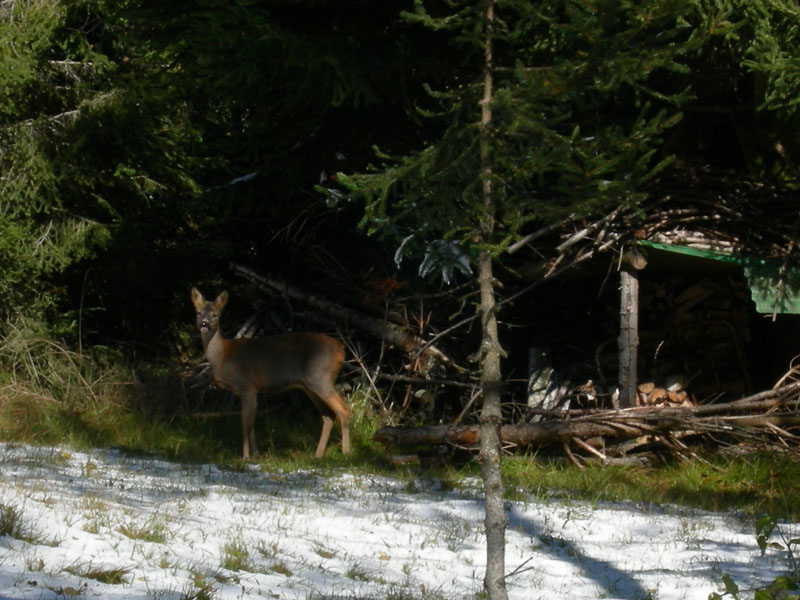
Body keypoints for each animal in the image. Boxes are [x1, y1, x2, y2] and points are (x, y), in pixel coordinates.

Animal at [191, 288, 350, 460]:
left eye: (215, 314)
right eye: (198, 312)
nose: (204, 324)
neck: (223, 356)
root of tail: (341, 351)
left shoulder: (247, 386)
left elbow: (245, 424)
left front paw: (245, 456)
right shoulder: (249, 390)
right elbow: (251, 424)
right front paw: (256, 454)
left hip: (321, 377)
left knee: (343, 409)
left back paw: (346, 452)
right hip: (310, 385)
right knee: (328, 415)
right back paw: (318, 454)